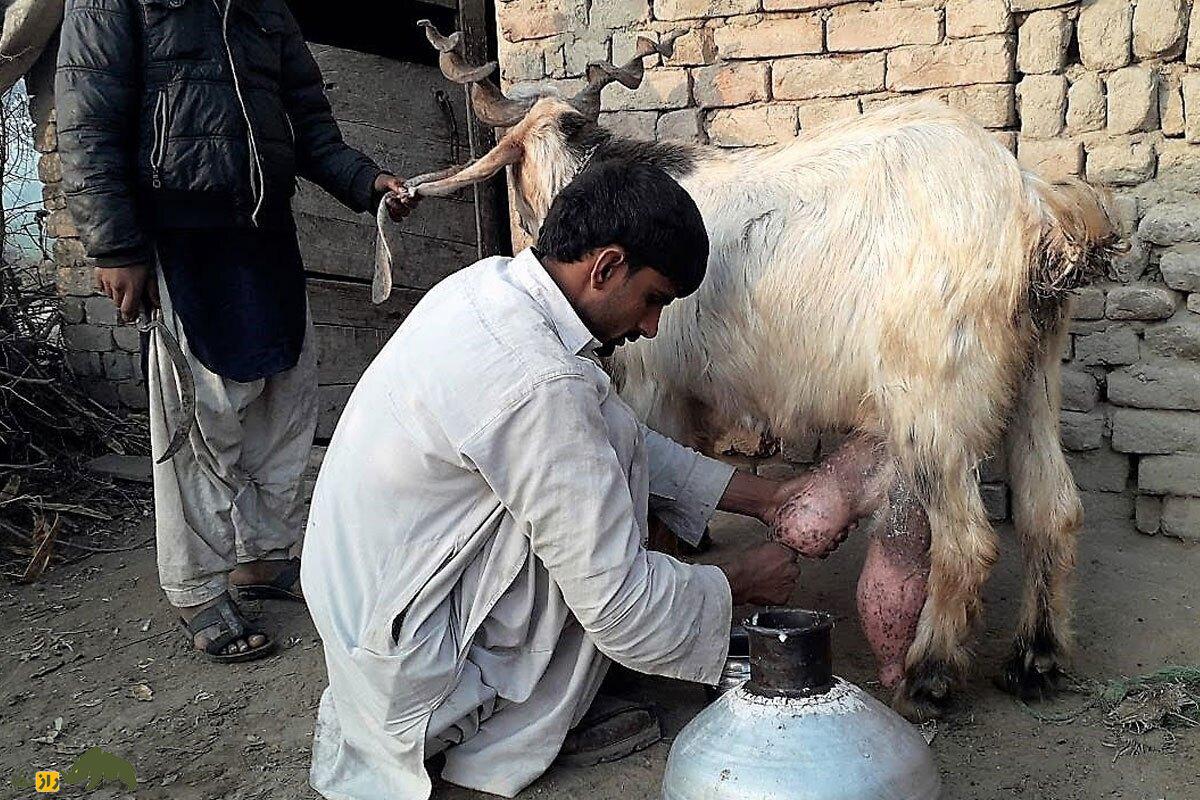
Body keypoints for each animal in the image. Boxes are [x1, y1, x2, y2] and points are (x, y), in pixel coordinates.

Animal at [379, 21, 1118, 724]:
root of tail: (1035, 211)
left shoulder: (654, 385)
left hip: (934, 394)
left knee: (968, 541)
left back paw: (930, 677)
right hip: (1034, 374)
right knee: (1054, 508)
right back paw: (1036, 661)